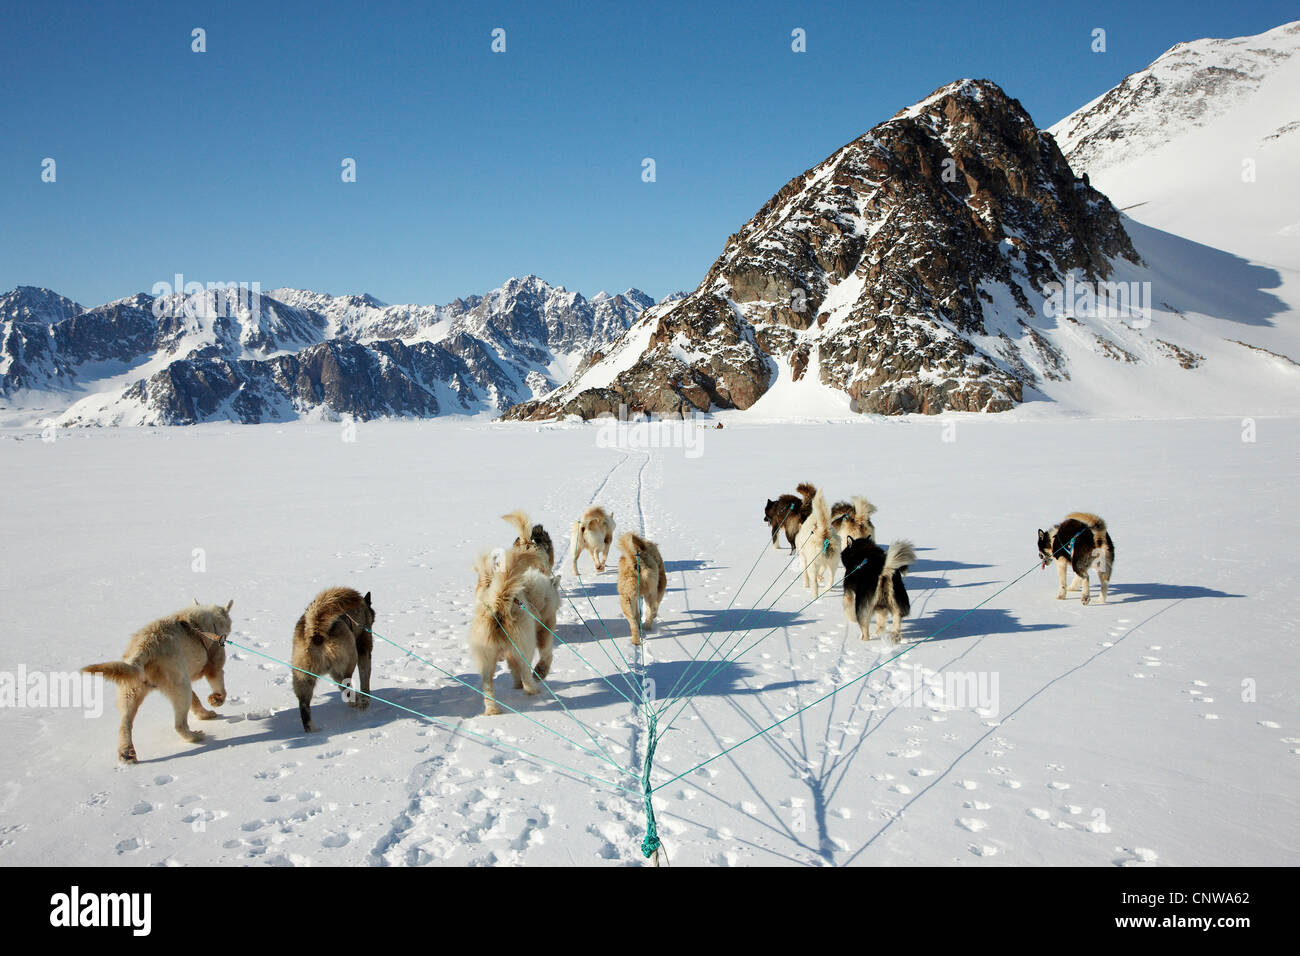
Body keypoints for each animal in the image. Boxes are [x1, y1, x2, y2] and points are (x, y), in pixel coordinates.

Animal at [82, 600, 233, 764]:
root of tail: (144, 648)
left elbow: (195, 699)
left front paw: (204, 712)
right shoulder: (214, 662)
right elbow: (219, 685)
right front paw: (216, 700)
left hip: (132, 689)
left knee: (125, 723)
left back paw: (127, 752)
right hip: (179, 684)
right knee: (179, 724)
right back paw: (195, 736)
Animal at [292, 582, 374, 733]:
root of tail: (316, 632)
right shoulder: (364, 649)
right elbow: (365, 679)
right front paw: (365, 701)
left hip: (303, 678)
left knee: (304, 705)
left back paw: (312, 731)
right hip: (349, 659)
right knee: (346, 685)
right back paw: (356, 701)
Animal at [475, 548, 561, 712]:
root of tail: (499, 599)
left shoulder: (510, 653)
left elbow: (514, 669)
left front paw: (516, 685)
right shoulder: (545, 628)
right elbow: (547, 653)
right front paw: (541, 672)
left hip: (486, 657)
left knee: (487, 685)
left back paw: (492, 709)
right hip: (525, 646)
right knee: (526, 673)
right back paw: (533, 690)